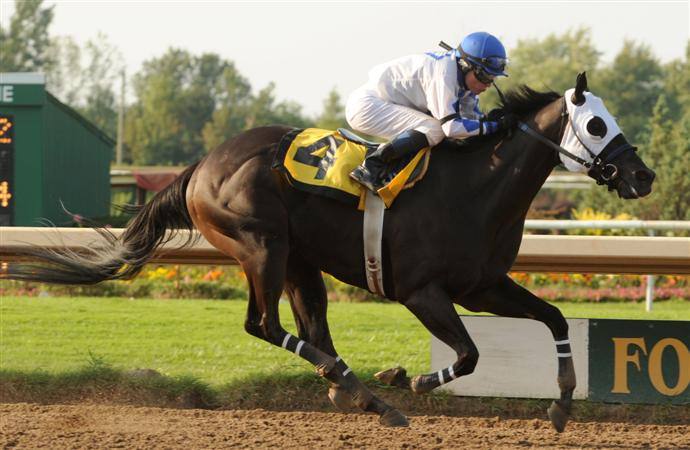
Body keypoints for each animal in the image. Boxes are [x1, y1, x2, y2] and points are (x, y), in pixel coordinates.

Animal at [2, 74, 652, 432]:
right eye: (596, 124)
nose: (642, 176)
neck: (476, 186)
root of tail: (201, 166)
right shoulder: (421, 291)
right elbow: (467, 355)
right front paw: (413, 378)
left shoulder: (482, 285)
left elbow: (556, 318)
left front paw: (562, 404)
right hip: (261, 245)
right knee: (264, 324)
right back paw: (364, 389)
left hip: (298, 260)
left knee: (311, 328)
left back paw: (358, 392)